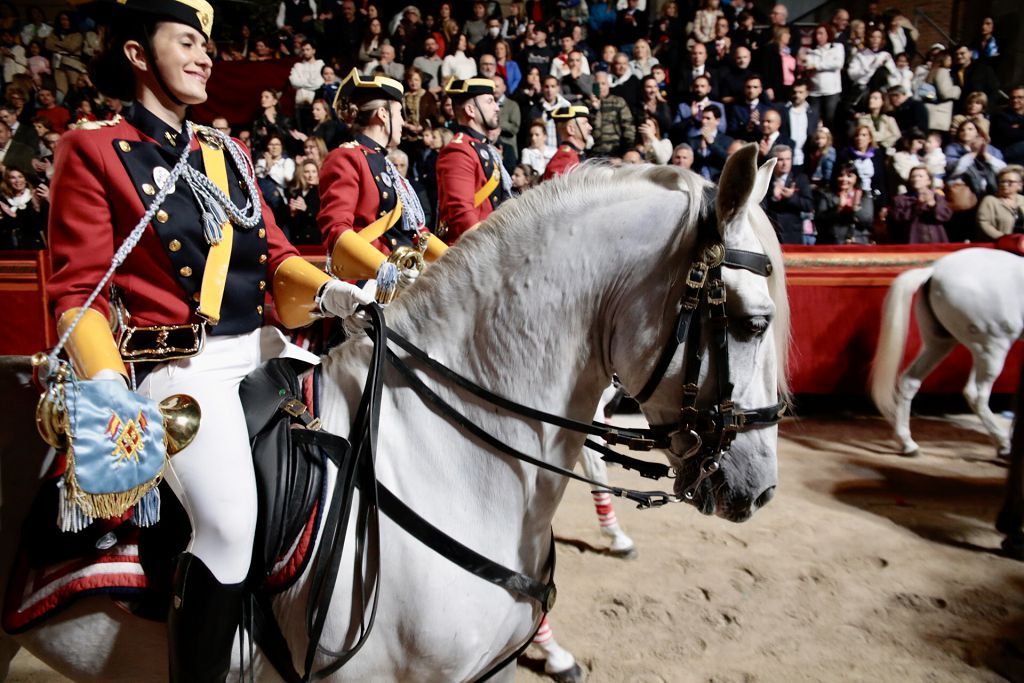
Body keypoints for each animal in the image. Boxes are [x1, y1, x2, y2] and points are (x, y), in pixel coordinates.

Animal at [872, 248, 1024, 456]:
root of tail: (934, 270)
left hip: (943, 344)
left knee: (911, 381)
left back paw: (908, 443)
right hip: (993, 346)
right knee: (978, 396)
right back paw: (1003, 444)